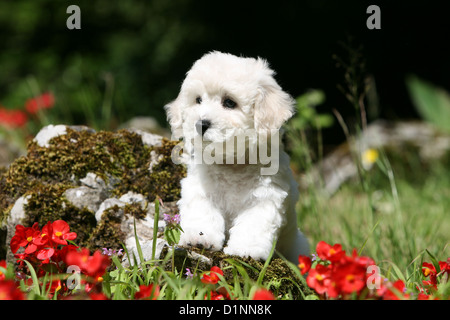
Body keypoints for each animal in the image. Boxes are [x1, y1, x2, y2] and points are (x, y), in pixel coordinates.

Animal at [164, 51, 310, 264]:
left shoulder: (266, 195)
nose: (201, 124)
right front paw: (200, 237)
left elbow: (253, 224)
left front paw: (246, 250)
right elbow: (202, 211)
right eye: (198, 100)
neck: (232, 162)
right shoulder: (200, 188)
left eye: (229, 102)